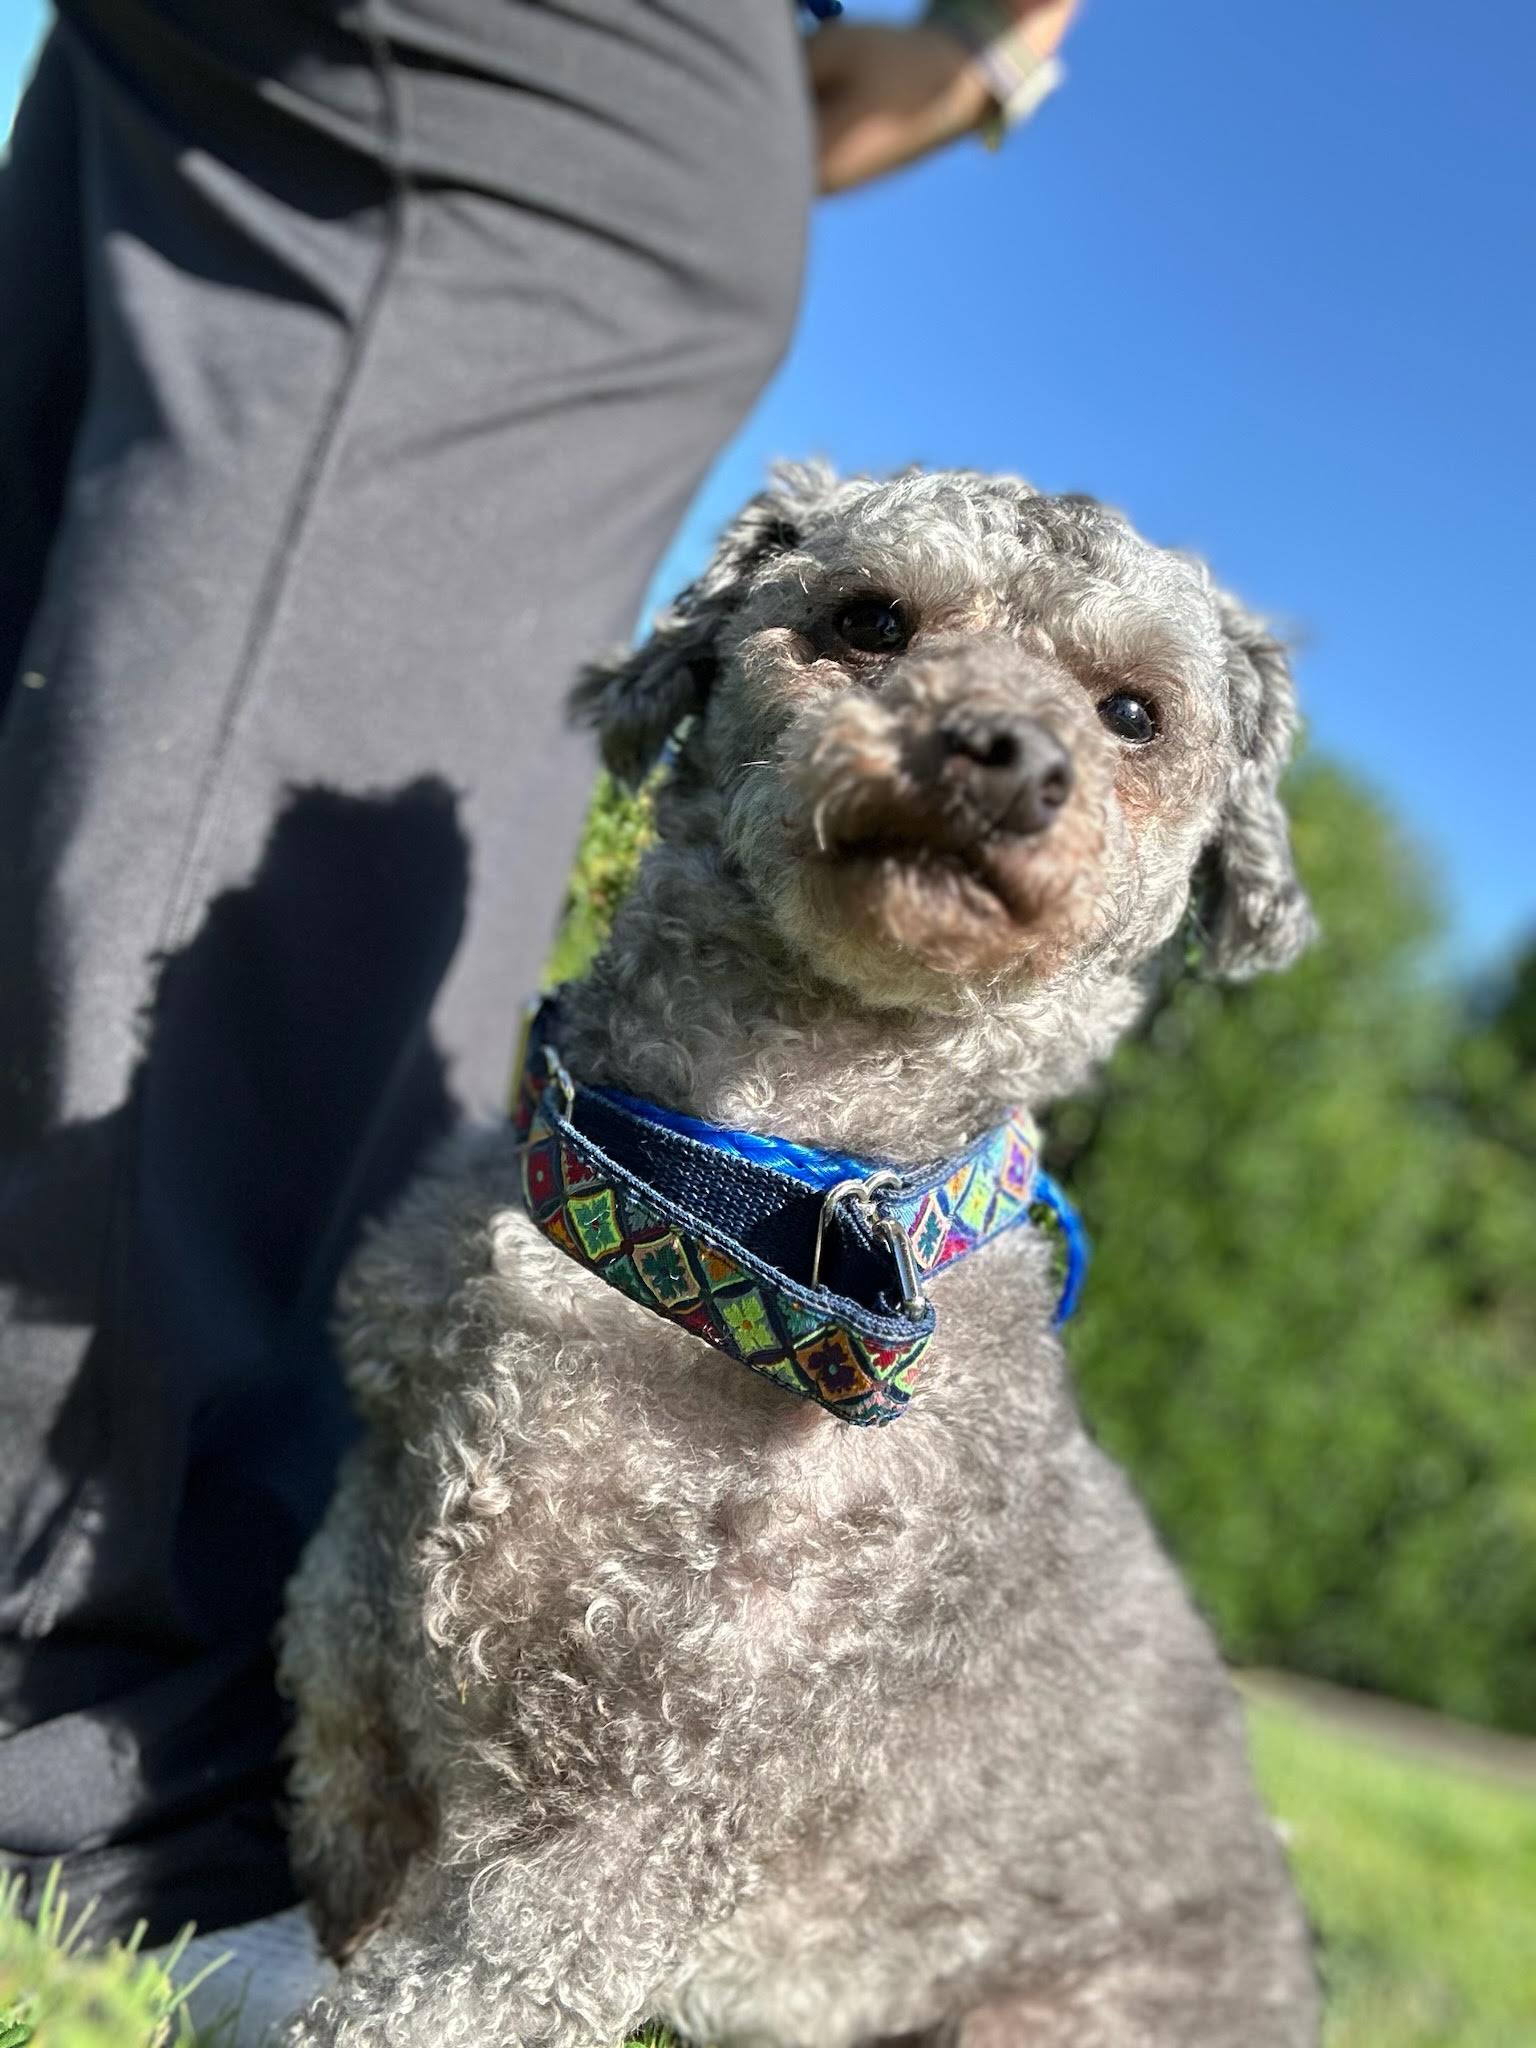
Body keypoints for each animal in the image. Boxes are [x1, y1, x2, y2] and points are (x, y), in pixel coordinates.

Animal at [276, 468, 1327, 2048]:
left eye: (1133, 711)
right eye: (871, 620)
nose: (1004, 748)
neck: (721, 1202)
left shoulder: (648, 1805)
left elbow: (441, 1995)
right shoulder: (373, 1500)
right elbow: (335, 1707)